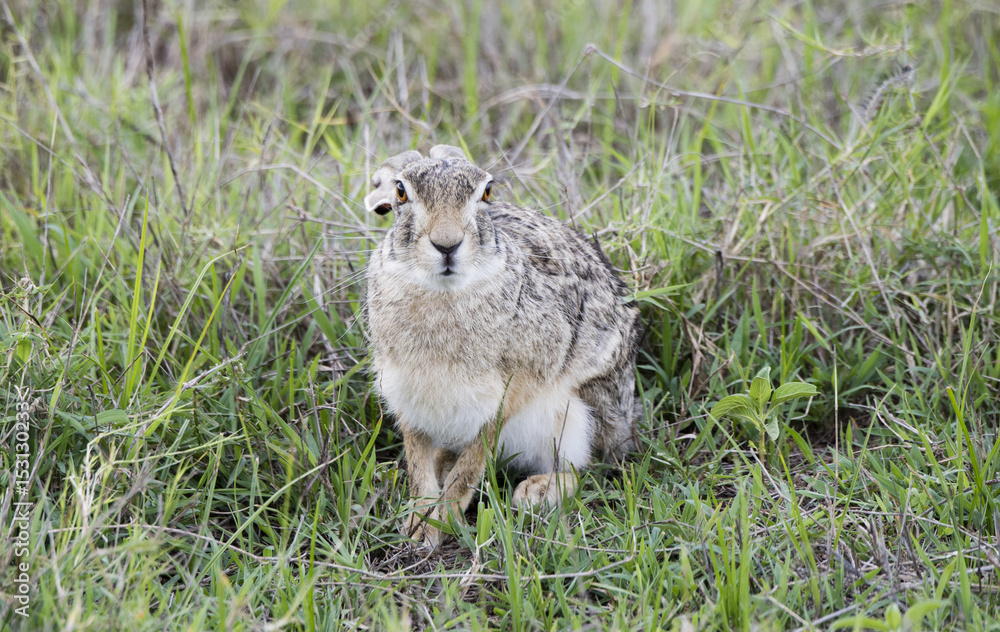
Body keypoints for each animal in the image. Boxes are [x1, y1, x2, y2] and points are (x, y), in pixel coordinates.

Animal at [364, 144, 642, 546]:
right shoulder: (406, 394)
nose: (447, 244)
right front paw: (419, 524)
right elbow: (417, 459)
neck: (443, 291)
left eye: (487, 192)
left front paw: (442, 520)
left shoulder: (509, 389)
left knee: (586, 468)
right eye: (401, 192)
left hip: (576, 414)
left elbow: (474, 460)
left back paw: (536, 492)